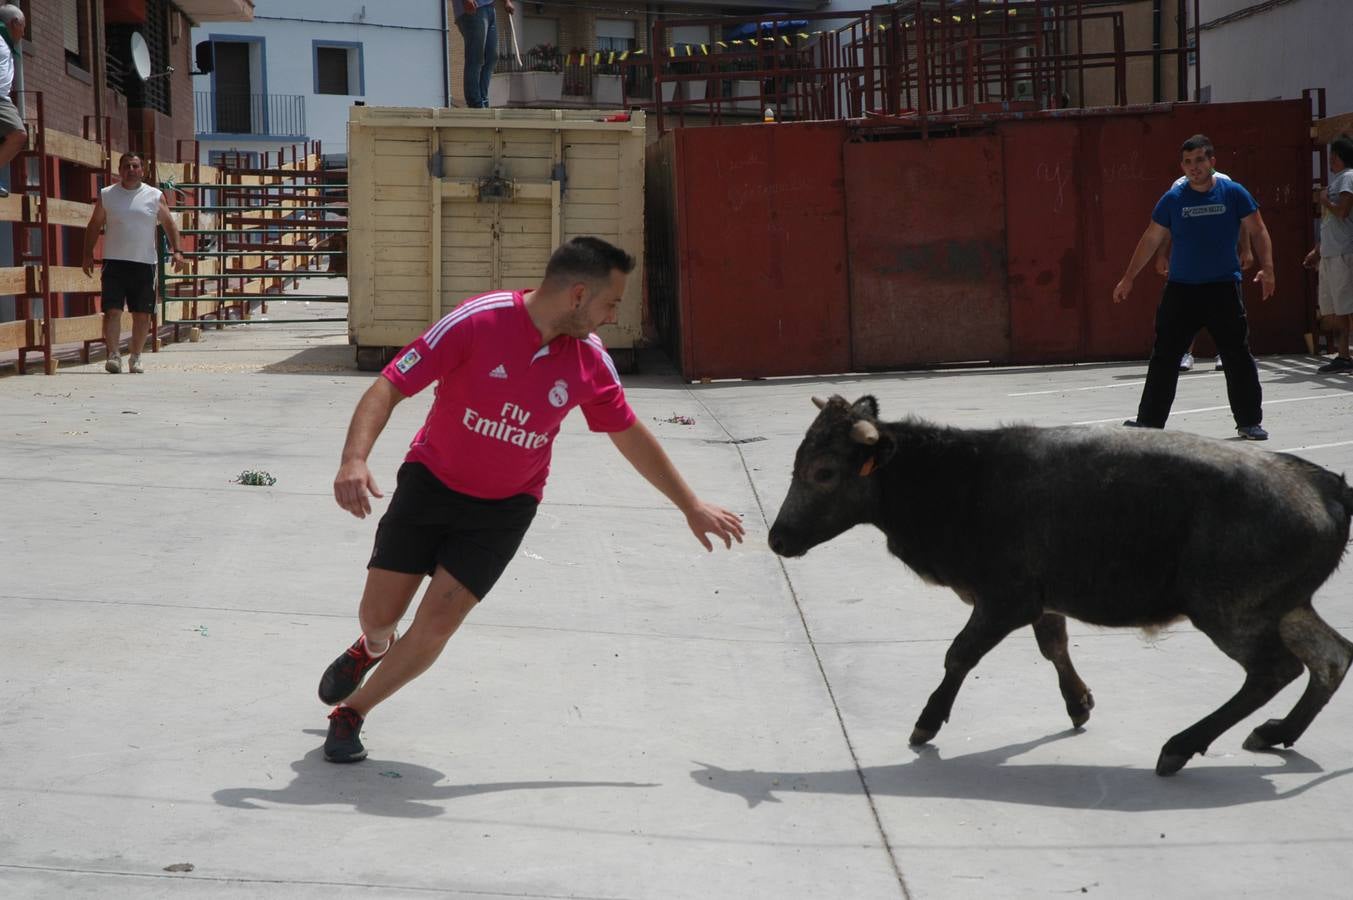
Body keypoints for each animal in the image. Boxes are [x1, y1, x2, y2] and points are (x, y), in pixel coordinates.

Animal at [768, 397, 1353, 774]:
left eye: (823, 472)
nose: (778, 537)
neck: (957, 478)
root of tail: (1324, 485)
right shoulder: (1041, 600)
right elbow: (1053, 644)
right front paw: (1079, 704)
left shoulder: (1003, 599)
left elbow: (960, 654)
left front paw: (927, 722)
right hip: (1284, 606)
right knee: (1331, 657)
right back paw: (1276, 733)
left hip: (1230, 610)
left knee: (1274, 670)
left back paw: (1180, 747)